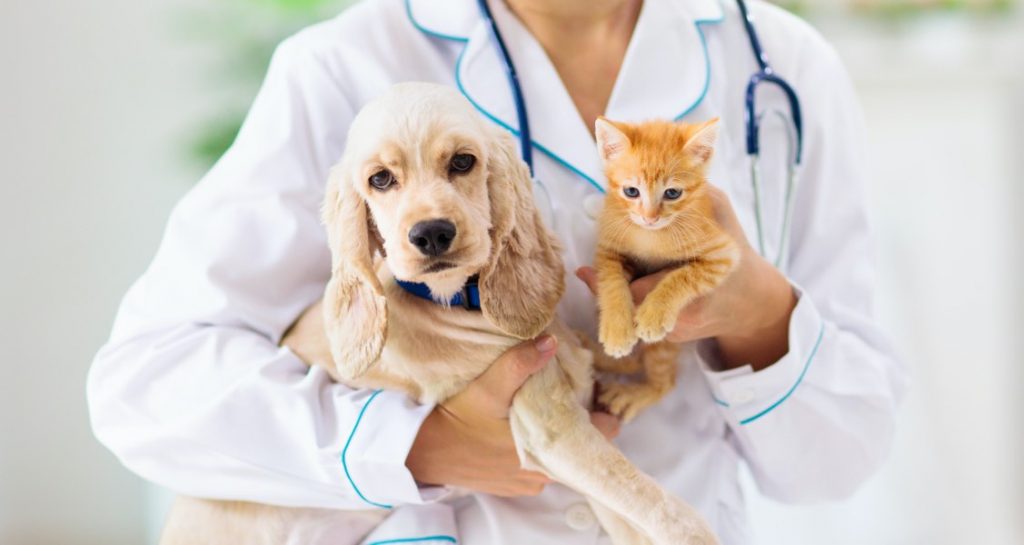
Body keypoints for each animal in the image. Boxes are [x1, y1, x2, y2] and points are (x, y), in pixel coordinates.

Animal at [593, 116, 737, 422]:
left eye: (672, 193)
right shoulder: (608, 248)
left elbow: (683, 276)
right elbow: (610, 282)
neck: (650, 237)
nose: (650, 218)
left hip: (665, 347)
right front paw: (617, 329)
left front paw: (654, 314)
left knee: (664, 380)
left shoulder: (723, 254)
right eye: (631, 191)